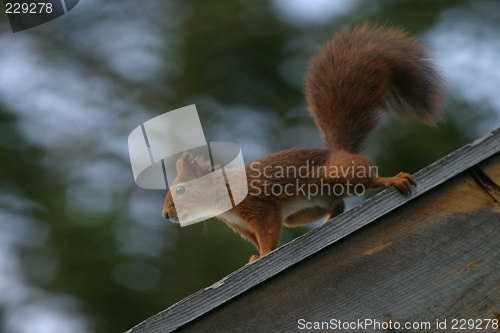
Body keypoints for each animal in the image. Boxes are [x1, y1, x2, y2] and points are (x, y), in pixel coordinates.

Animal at [162, 24, 444, 264]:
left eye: (181, 190)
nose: (165, 215)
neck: (219, 199)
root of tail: (339, 150)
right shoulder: (241, 225)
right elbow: (256, 240)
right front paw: (254, 258)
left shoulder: (259, 207)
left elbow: (267, 234)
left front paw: (264, 255)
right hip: (305, 211)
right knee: (338, 204)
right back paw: (328, 223)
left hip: (339, 173)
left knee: (366, 180)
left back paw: (391, 180)